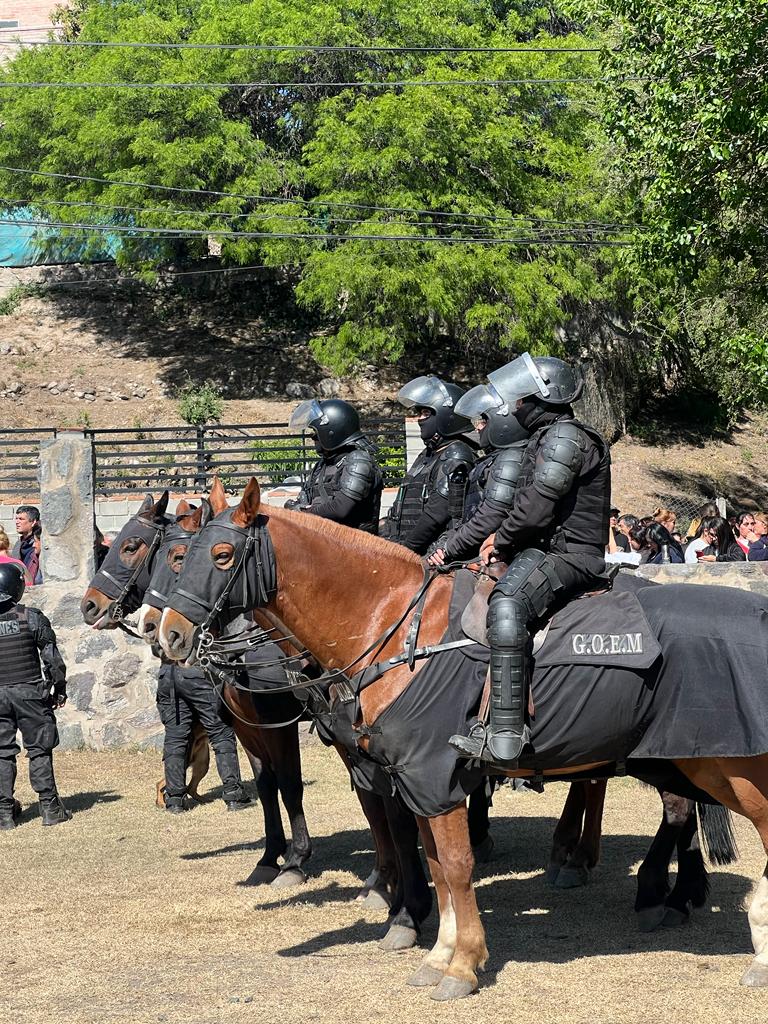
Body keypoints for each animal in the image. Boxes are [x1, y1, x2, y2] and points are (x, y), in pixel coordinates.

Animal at [157, 479, 768, 999]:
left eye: (221, 555)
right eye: (183, 554)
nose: (168, 634)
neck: (397, 630)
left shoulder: (430, 775)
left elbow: (452, 863)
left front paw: (462, 962)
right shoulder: (414, 782)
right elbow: (430, 857)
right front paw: (437, 953)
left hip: (735, 769)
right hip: (684, 760)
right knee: (682, 814)